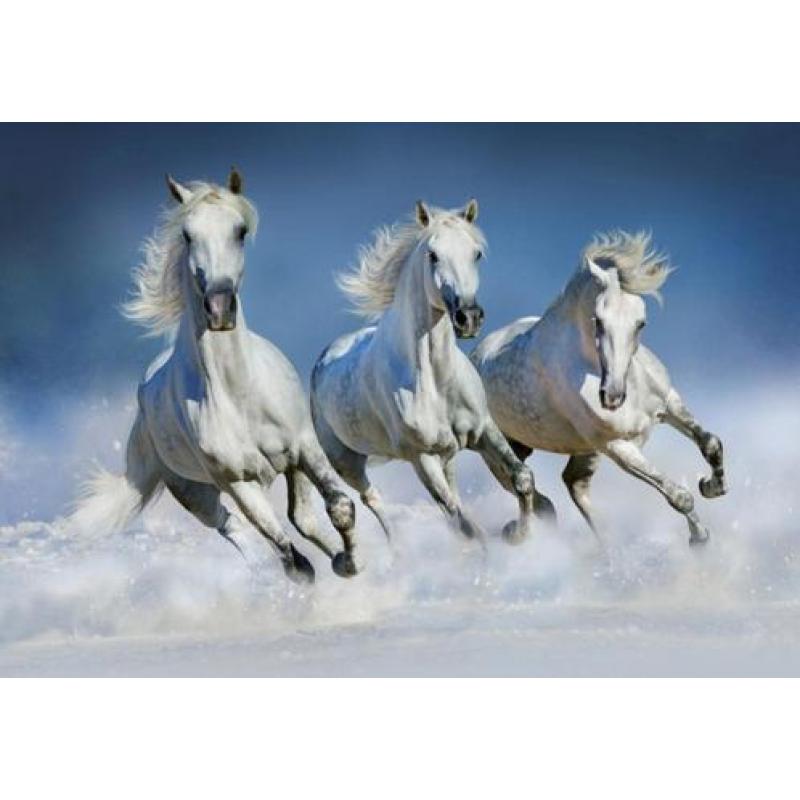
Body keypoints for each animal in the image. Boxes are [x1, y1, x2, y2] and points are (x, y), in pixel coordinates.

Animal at [70, 169, 360, 583]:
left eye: (240, 231)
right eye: (187, 234)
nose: (220, 308)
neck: (239, 394)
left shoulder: (305, 447)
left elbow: (339, 507)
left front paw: (351, 563)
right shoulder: (238, 482)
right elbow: (292, 559)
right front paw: (325, 570)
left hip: (290, 465)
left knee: (302, 516)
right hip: (195, 493)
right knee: (232, 526)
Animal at [310, 200, 554, 549]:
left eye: (476, 253)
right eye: (433, 255)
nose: (469, 317)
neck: (436, 381)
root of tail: (324, 358)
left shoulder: (484, 430)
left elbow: (521, 478)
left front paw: (519, 533)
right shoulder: (420, 457)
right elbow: (461, 522)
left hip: (446, 454)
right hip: (347, 463)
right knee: (373, 499)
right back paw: (397, 549)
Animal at [473, 231, 727, 545]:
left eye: (641, 323)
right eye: (598, 320)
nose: (612, 397)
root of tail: (477, 354)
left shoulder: (669, 404)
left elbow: (711, 443)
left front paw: (712, 486)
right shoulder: (616, 446)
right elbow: (679, 496)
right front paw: (700, 538)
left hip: (584, 450)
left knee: (573, 483)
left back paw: (606, 542)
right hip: (501, 451)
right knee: (529, 489)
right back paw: (522, 532)